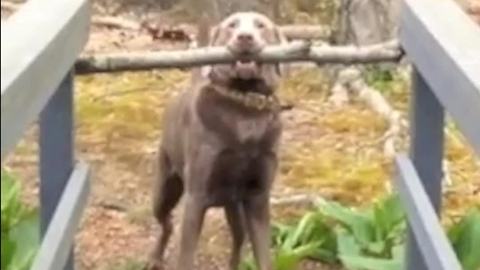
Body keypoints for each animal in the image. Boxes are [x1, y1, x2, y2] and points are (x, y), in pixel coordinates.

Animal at [148, 11, 286, 270]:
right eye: (232, 25)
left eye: (261, 25)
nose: (245, 37)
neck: (244, 107)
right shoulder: (197, 196)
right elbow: (186, 257)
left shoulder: (258, 197)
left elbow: (263, 255)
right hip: (165, 190)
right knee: (167, 222)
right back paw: (154, 258)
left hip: (234, 205)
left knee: (239, 236)